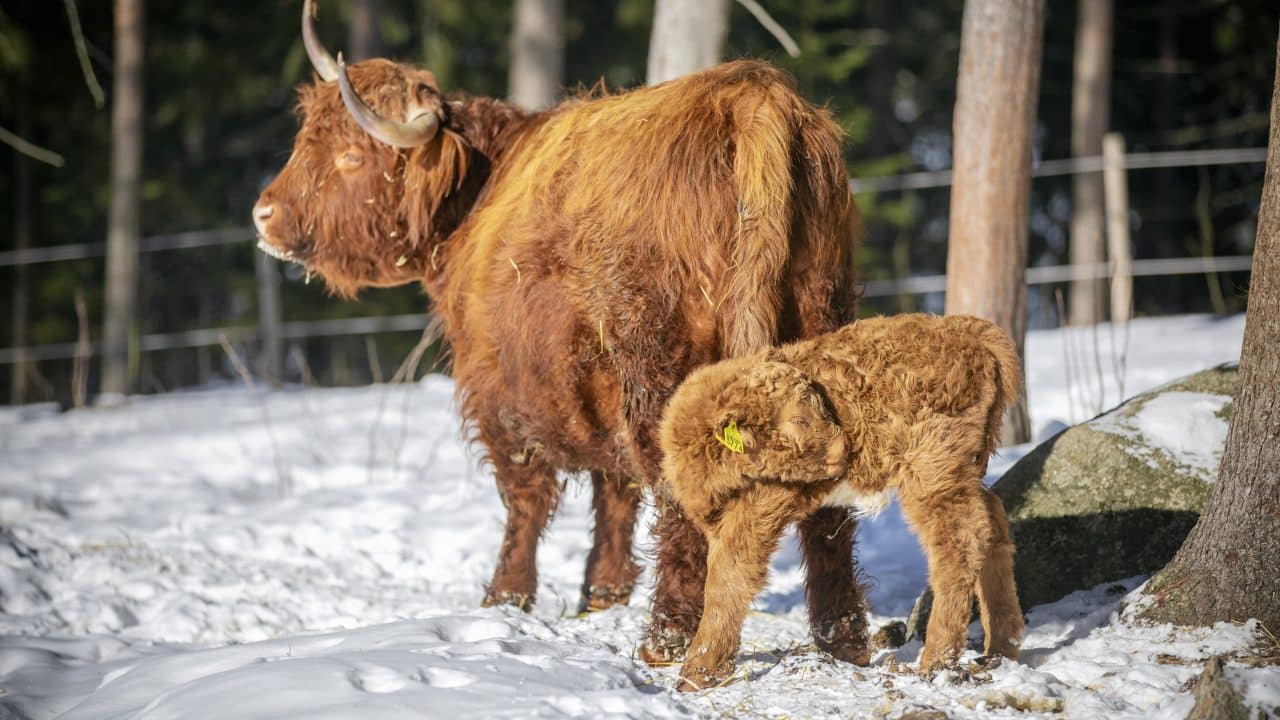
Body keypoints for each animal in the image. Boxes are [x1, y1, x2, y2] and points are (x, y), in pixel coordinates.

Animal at [252, 0, 860, 661]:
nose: (263, 214)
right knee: (829, 498)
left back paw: (666, 637)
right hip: (820, 316)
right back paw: (841, 635)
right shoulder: (596, 391)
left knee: (681, 491)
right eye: (305, 140)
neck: (477, 193)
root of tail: (752, 92)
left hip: (661, 362)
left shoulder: (499, 387)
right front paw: (604, 593)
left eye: (350, 157)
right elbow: (615, 490)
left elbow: (526, 496)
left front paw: (504, 597)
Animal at [660, 313, 1029, 691]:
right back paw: (1002, 647)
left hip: (933, 469)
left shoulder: (761, 505)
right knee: (992, 521)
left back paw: (937, 660)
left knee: (960, 541)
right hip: (963, 470)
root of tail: (969, 330)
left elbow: (727, 579)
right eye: (799, 419)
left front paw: (698, 672)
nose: (845, 449)